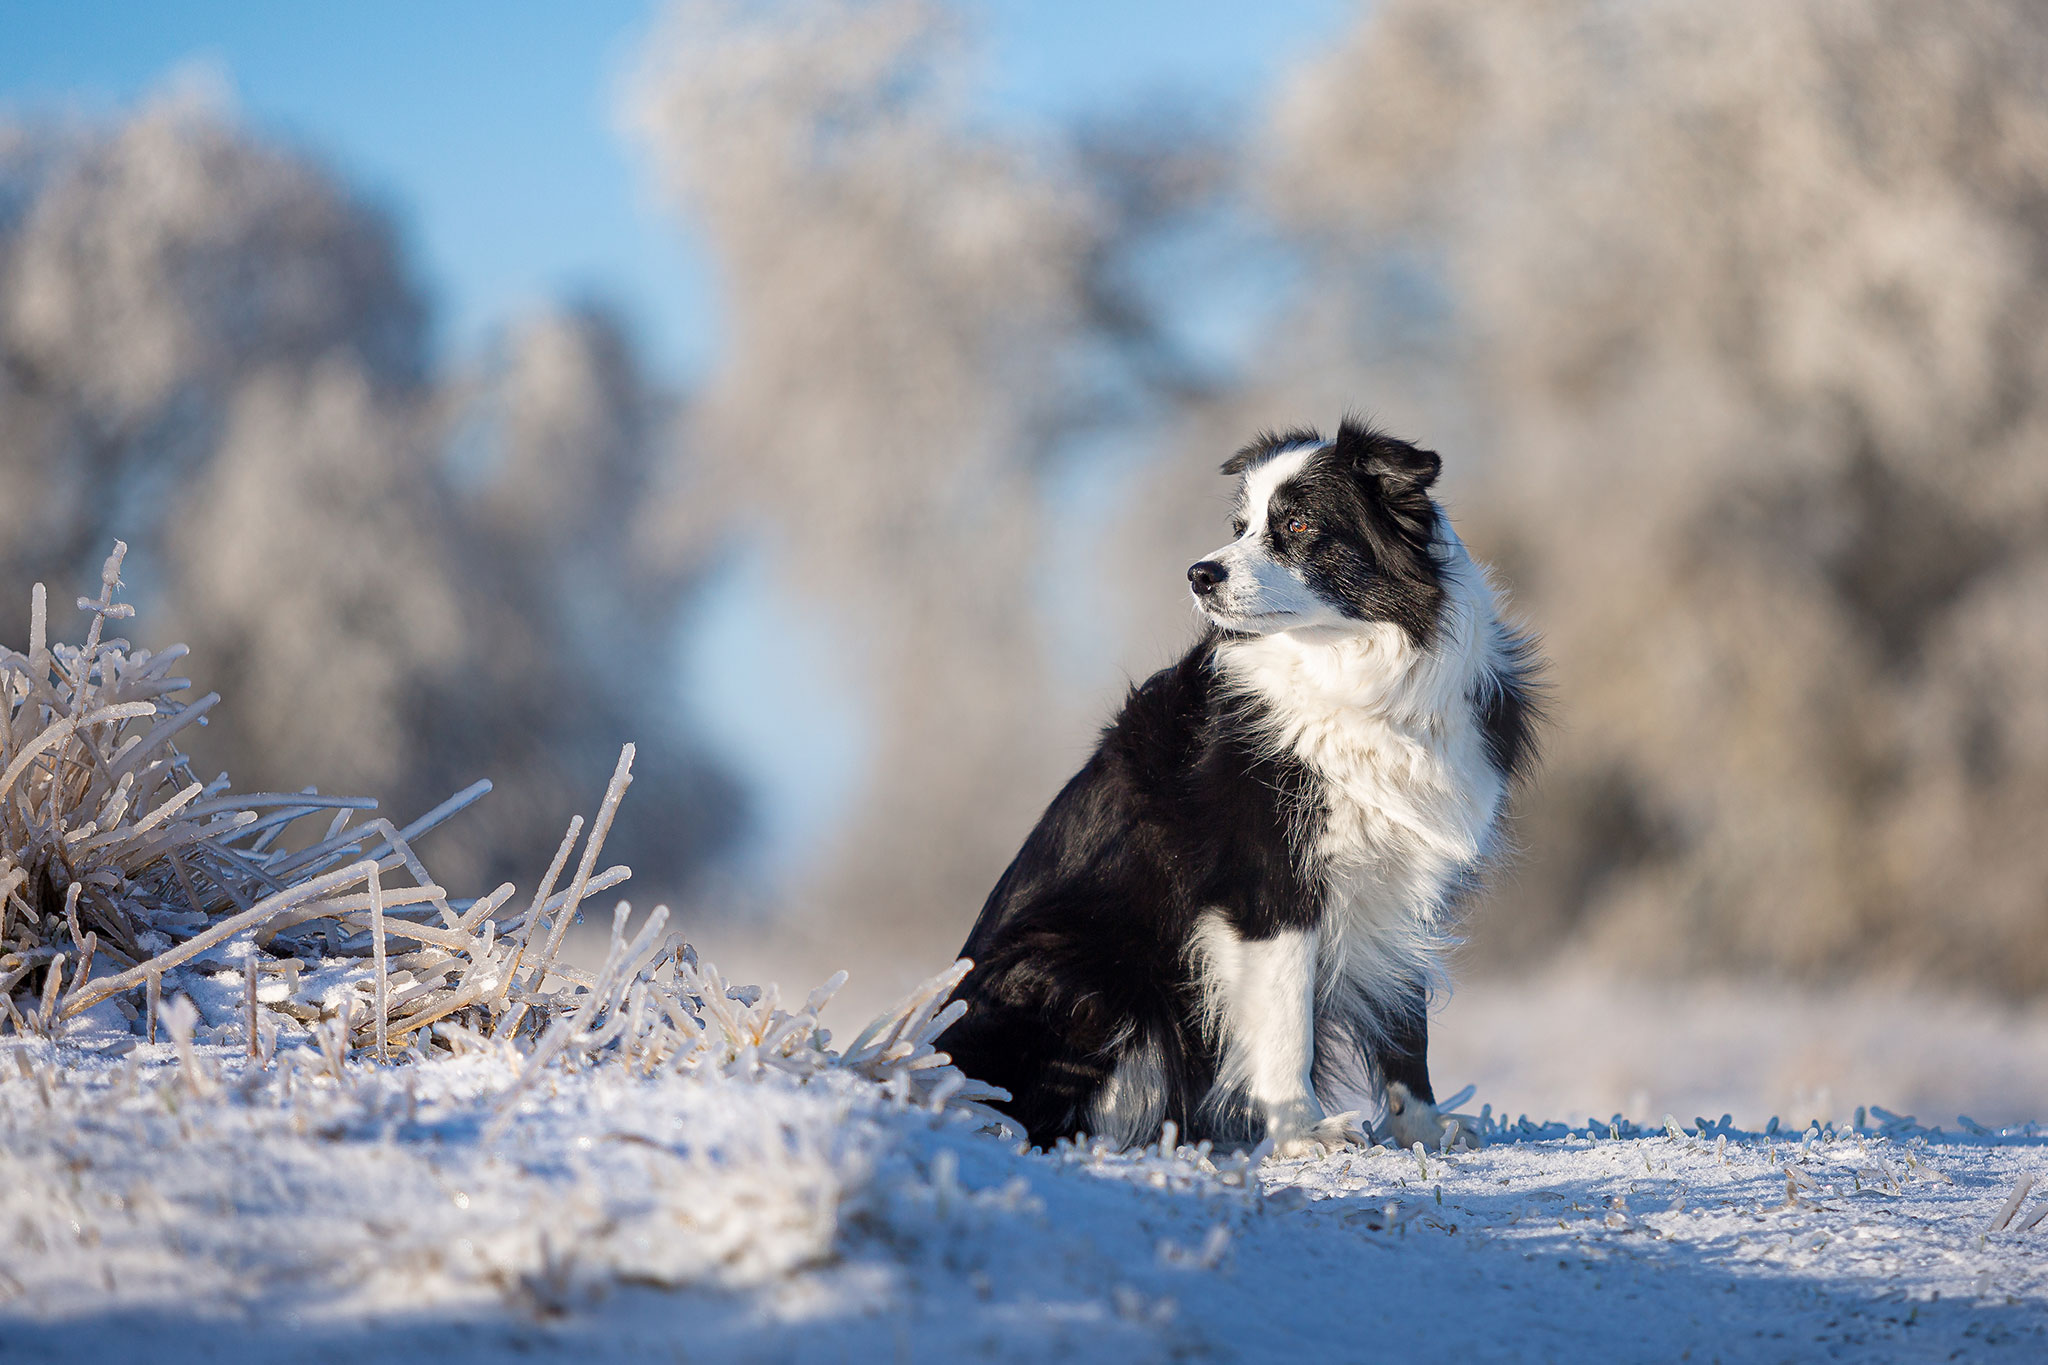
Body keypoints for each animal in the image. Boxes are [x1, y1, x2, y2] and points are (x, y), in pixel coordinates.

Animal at [933, 419, 1540, 1154]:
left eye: (1299, 523)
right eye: (1240, 525)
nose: (1199, 573)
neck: (1349, 673)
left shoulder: (1402, 882)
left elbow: (1405, 1022)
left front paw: (1421, 1126)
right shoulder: (1265, 881)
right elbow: (1284, 1019)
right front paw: (1304, 1132)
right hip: (1081, 966)